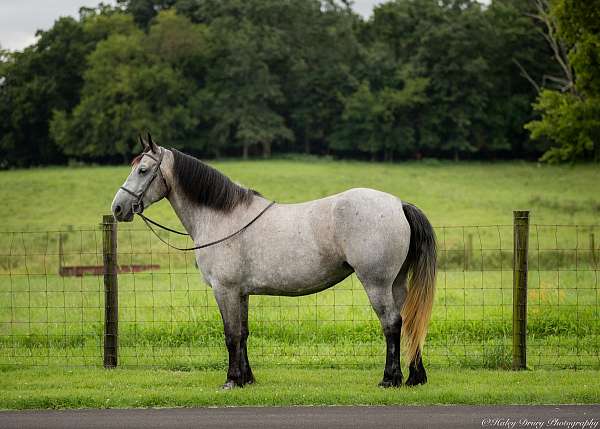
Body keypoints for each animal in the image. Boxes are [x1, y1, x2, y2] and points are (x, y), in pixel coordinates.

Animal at [111, 136, 436, 388]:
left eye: (142, 169)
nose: (118, 208)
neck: (223, 217)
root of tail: (398, 204)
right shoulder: (240, 293)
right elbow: (243, 334)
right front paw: (247, 379)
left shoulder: (224, 290)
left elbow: (230, 335)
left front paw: (231, 380)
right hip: (395, 283)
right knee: (409, 321)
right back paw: (414, 377)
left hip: (376, 283)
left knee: (391, 323)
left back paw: (390, 379)